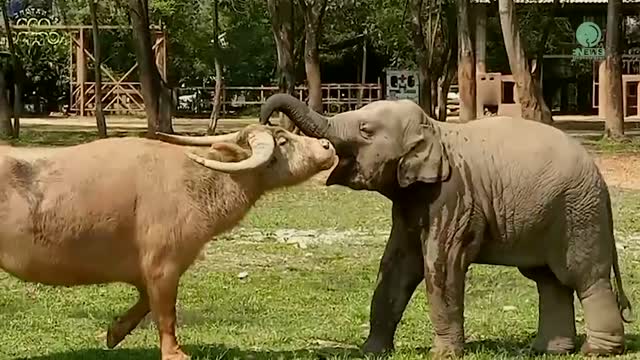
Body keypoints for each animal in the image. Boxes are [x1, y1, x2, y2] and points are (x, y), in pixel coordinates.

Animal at [0, 124, 338, 360]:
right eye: (283, 140)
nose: (327, 145)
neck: (198, 183)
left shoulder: (145, 270)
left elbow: (146, 302)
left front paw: (114, 333)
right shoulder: (164, 264)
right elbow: (165, 310)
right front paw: (174, 352)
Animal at [258, 94, 632, 358]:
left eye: (365, 130)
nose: (266, 123)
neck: (435, 129)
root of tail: (601, 179)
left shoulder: (452, 196)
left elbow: (441, 264)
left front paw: (442, 355)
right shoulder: (410, 203)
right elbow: (396, 265)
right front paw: (372, 351)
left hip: (578, 213)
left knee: (584, 277)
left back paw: (596, 351)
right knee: (549, 281)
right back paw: (546, 351)